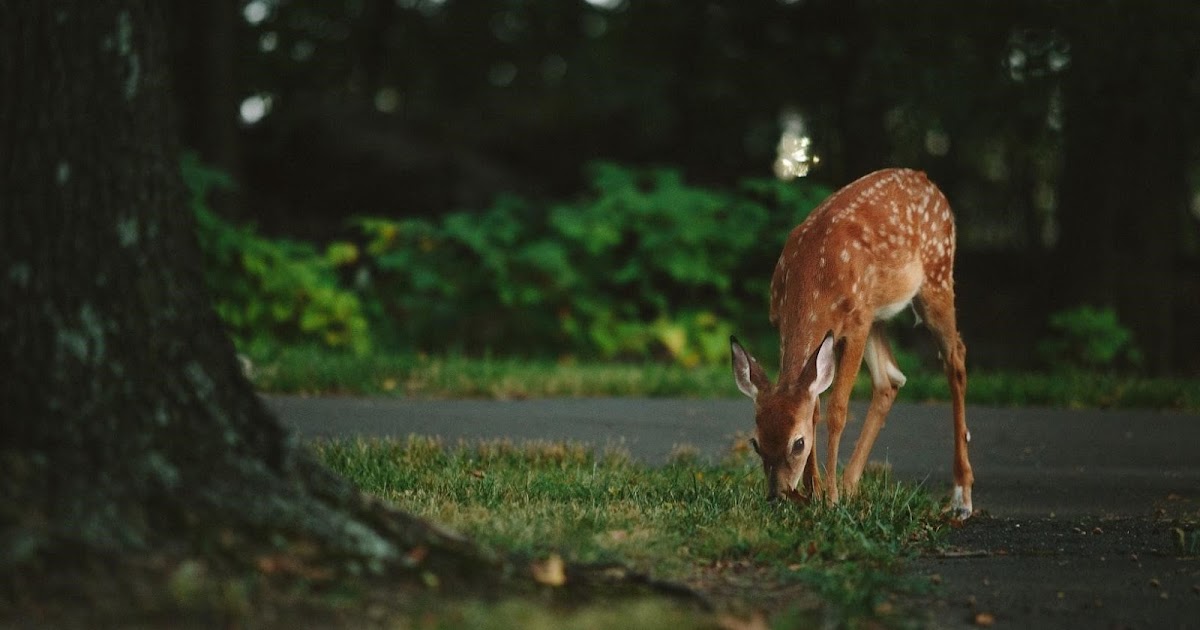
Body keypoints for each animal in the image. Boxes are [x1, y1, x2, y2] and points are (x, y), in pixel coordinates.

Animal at [729, 168, 974, 520]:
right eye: (756, 443)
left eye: (798, 444)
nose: (777, 496)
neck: (814, 279)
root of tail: (926, 179)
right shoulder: (786, 325)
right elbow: (814, 406)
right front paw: (815, 493)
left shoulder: (855, 325)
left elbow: (836, 410)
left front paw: (828, 498)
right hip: (878, 313)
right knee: (890, 379)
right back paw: (850, 485)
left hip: (936, 276)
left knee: (955, 358)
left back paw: (962, 496)